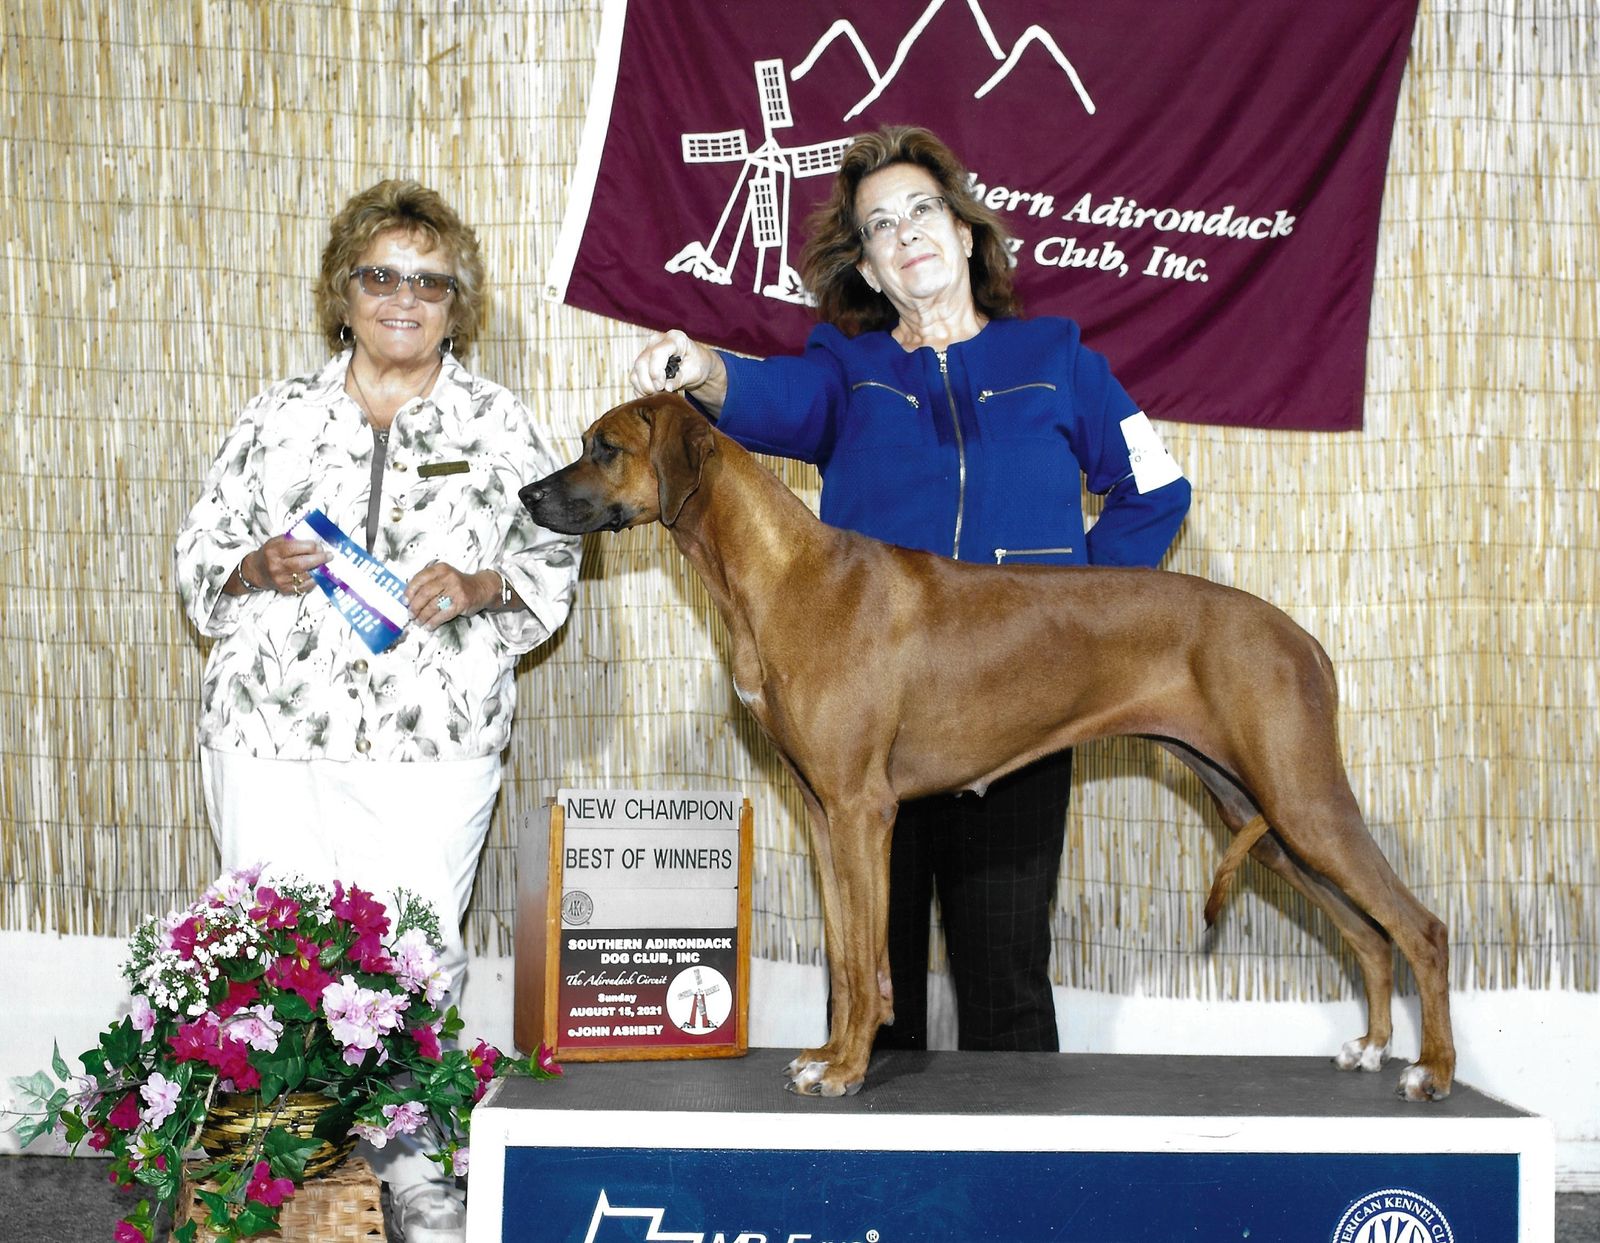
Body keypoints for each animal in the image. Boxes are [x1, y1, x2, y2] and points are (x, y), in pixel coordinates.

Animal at [520, 393, 1455, 1101]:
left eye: (605, 448)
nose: (528, 496)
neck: (781, 573)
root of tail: (1303, 637)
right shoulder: (823, 814)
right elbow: (847, 956)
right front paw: (827, 1054)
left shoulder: (864, 810)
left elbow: (870, 956)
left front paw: (848, 1068)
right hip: (1259, 815)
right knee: (1369, 934)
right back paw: (1373, 1045)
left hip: (1303, 800)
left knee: (1419, 927)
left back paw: (1433, 1070)